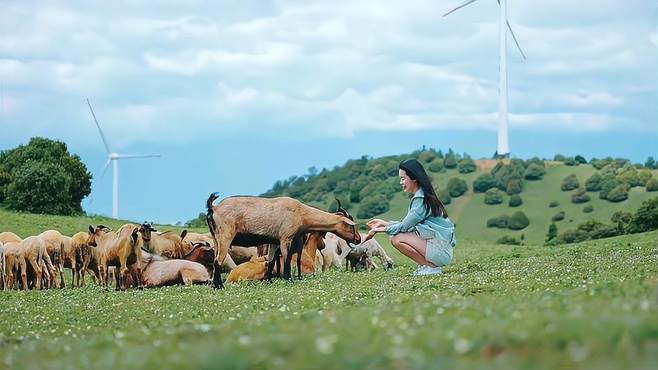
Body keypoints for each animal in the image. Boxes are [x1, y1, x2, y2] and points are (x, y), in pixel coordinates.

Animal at [205, 192, 358, 288]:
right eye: (351, 226)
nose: (358, 239)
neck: (301, 213)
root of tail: (214, 207)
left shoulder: (274, 242)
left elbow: (272, 261)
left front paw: (269, 281)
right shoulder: (286, 238)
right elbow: (287, 258)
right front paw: (289, 279)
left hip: (216, 239)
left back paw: (214, 285)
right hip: (225, 237)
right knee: (218, 261)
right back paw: (220, 286)